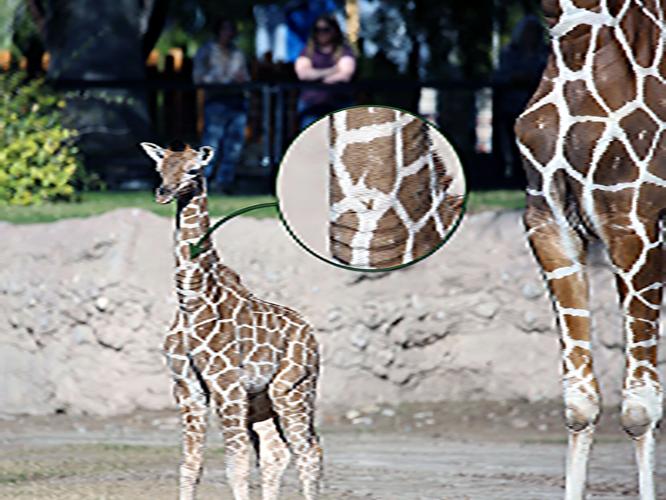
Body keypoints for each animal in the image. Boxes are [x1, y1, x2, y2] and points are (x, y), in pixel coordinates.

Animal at [139, 140, 322, 500]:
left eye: (193, 169)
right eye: (159, 168)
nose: (163, 192)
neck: (192, 300)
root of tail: (311, 335)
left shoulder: (227, 384)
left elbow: (235, 467)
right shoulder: (187, 386)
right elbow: (190, 465)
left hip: (292, 388)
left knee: (308, 450)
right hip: (262, 402)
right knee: (277, 451)